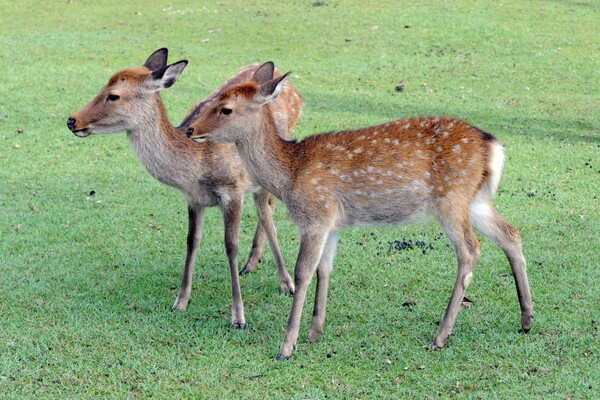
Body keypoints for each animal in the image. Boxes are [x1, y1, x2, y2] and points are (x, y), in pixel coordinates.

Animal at [69, 50, 304, 330]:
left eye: (113, 95)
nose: (71, 120)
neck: (196, 166)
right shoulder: (193, 198)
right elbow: (192, 241)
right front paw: (180, 302)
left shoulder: (233, 189)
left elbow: (230, 245)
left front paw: (239, 317)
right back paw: (252, 264)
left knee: (267, 212)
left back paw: (285, 282)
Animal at [188, 62, 536, 360]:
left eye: (226, 108)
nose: (191, 129)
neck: (290, 173)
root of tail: (492, 147)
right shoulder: (332, 224)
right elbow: (324, 270)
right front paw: (315, 331)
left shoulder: (314, 215)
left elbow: (303, 273)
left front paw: (287, 346)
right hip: (475, 200)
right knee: (510, 233)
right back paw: (526, 318)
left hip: (451, 199)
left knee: (470, 250)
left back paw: (441, 335)